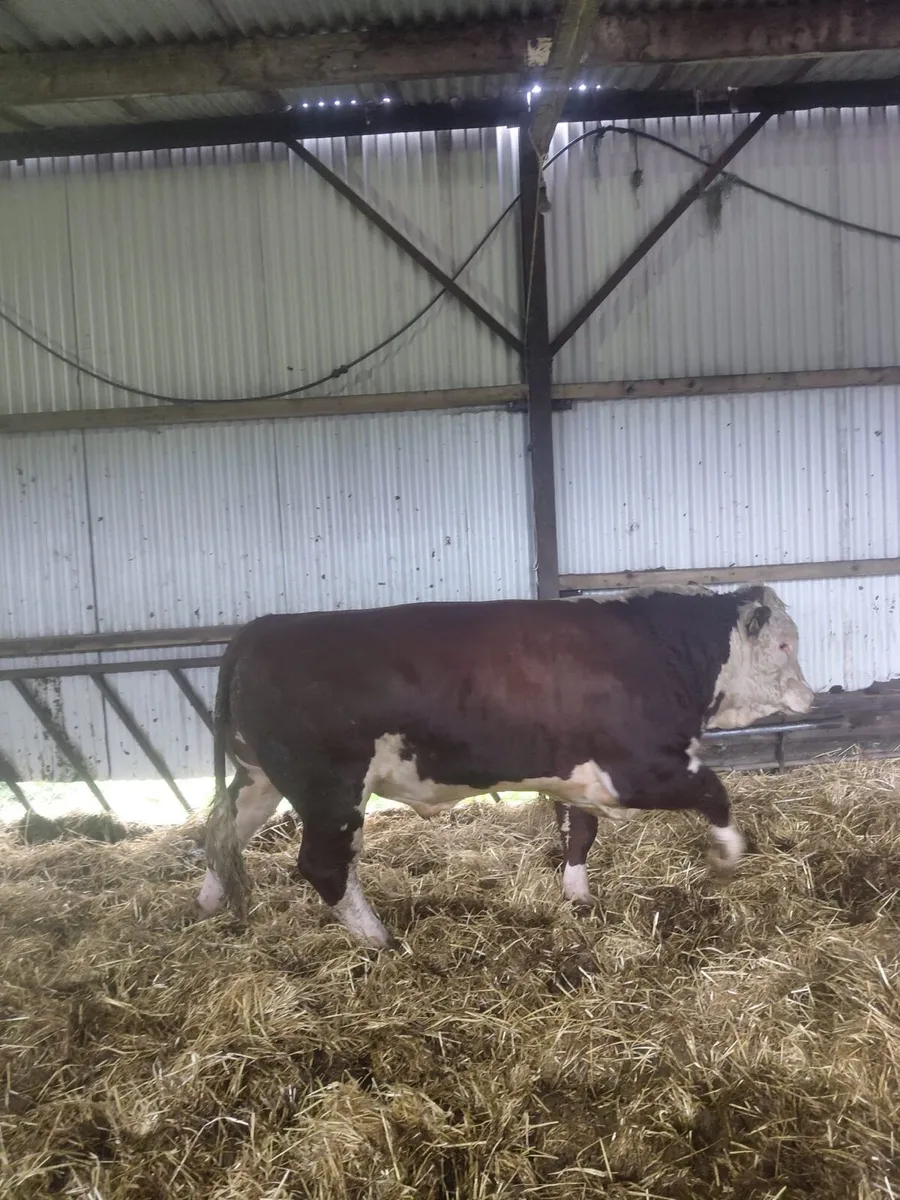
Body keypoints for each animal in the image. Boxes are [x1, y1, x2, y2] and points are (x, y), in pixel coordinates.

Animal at [196, 585, 813, 947]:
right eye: (786, 645)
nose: (811, 697)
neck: (659, 650)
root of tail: (265, 626)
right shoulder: (638, 770)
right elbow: (714, 791)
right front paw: (727, 859)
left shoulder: (576, 777)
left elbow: (578, 833)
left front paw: (578, 898)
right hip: (331, 790)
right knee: (324, 866)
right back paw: (379, 941)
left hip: (259, 779)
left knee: (221, 832)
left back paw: (207, 904)